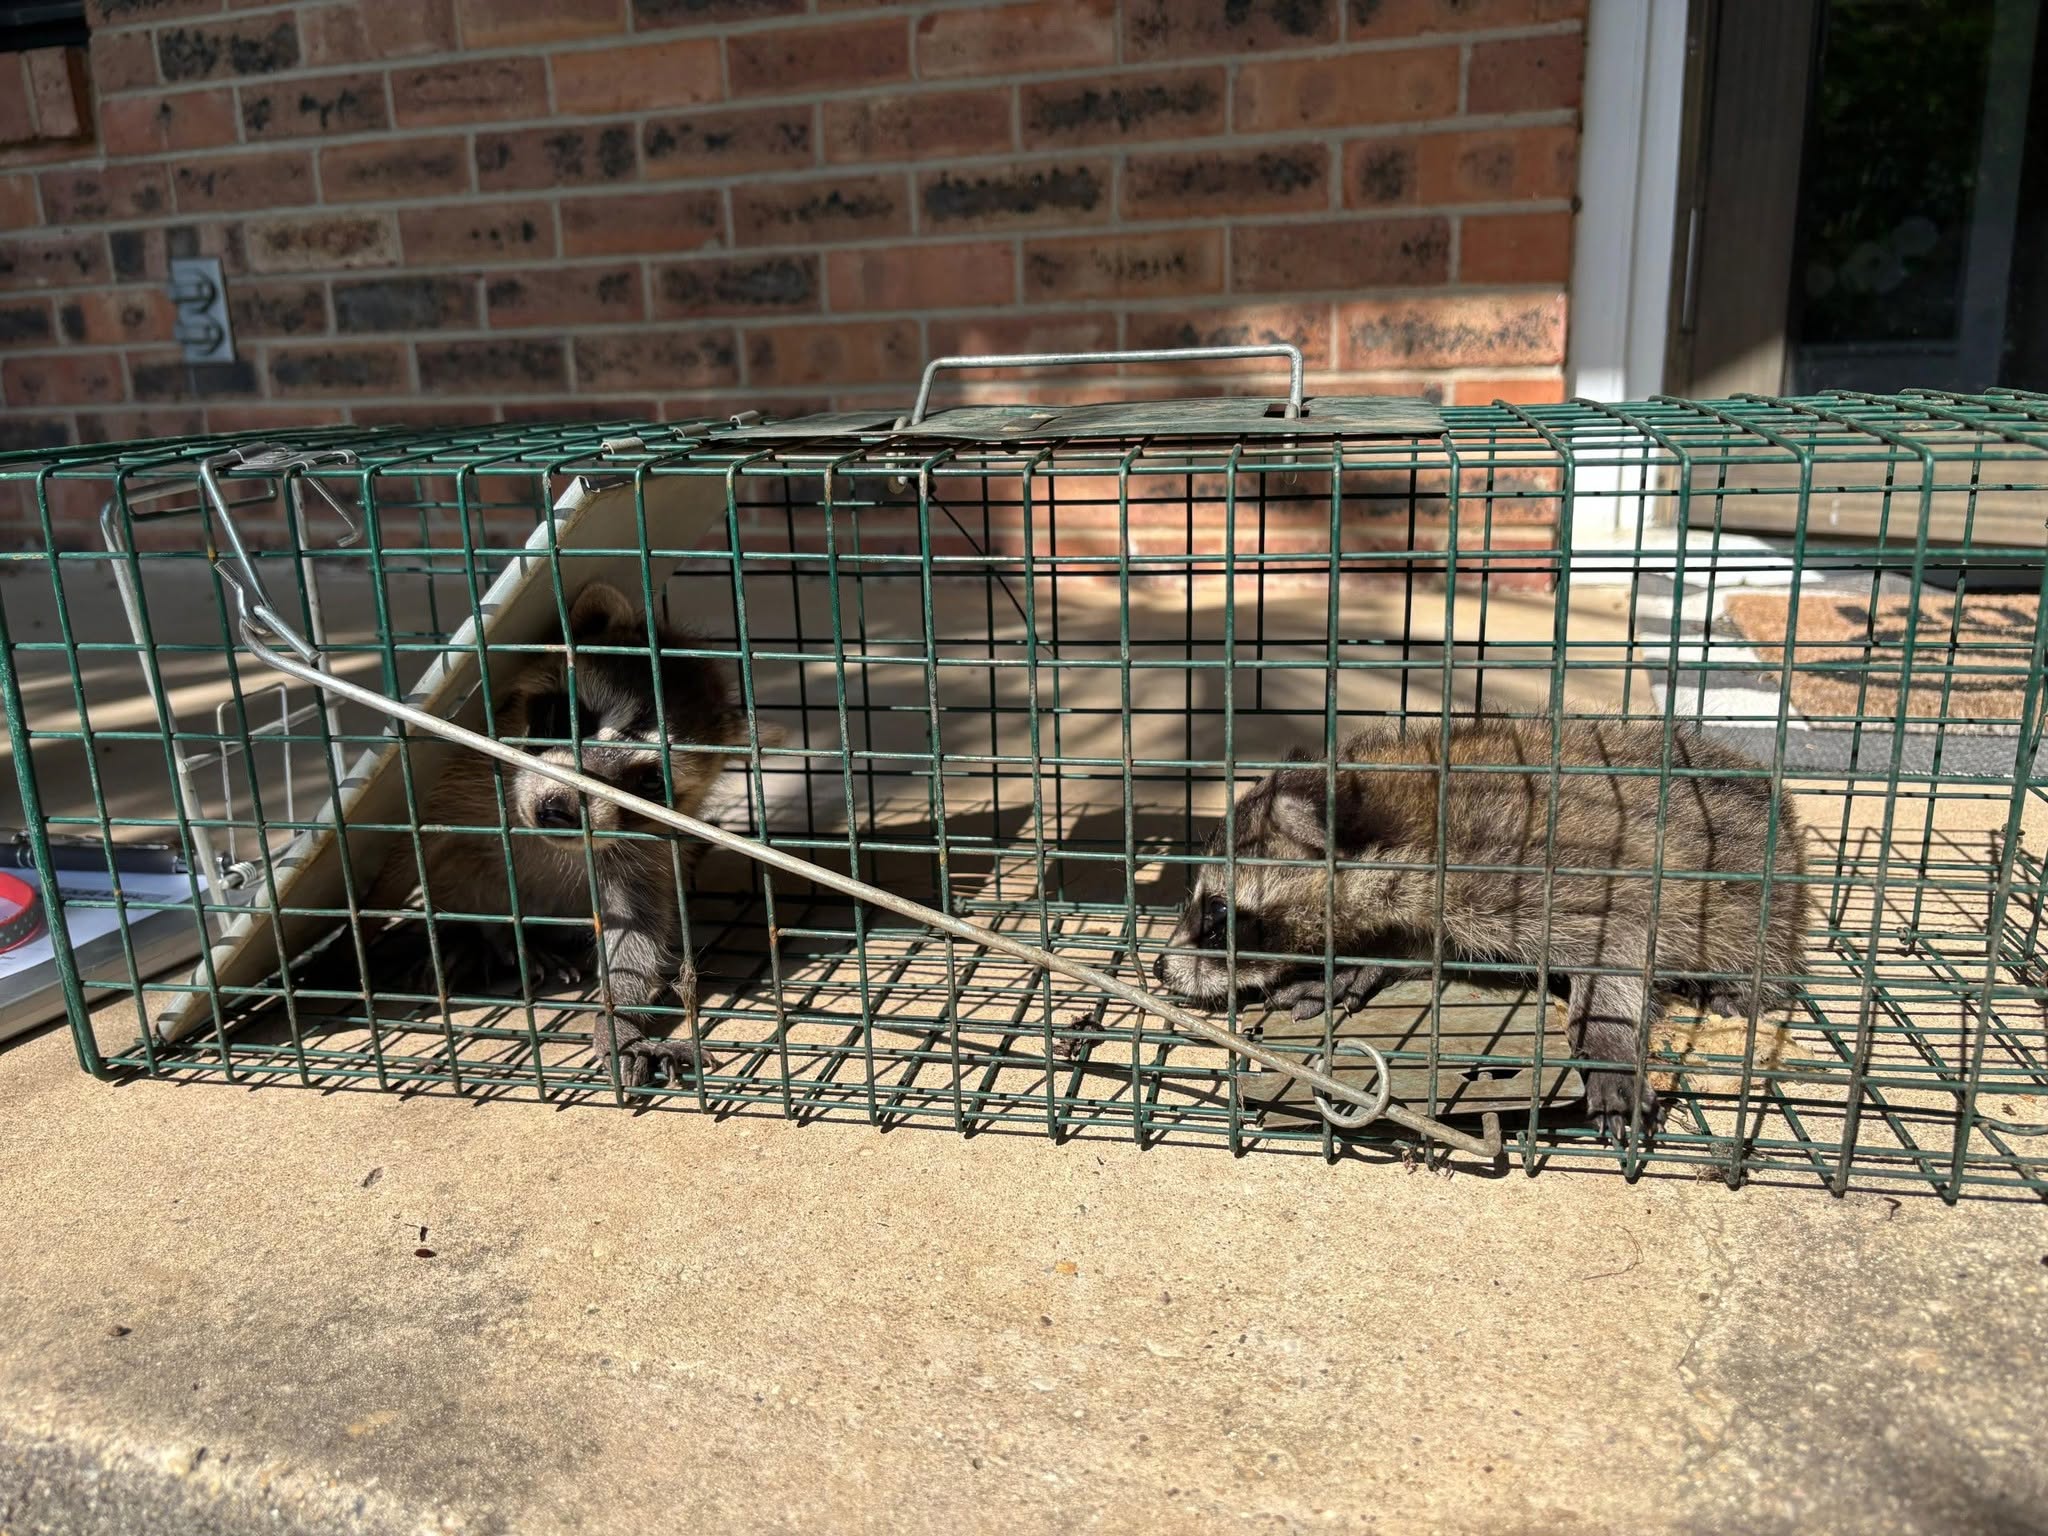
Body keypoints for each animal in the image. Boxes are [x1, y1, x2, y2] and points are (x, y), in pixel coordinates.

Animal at [357, 579, 756, 1089]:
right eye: (571, 719)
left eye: (650, 781)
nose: (560, 811)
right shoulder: (455, 776)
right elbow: (403, 855)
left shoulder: (645, 843)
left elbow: (638, 925)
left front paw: (619, 1019)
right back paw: (481, 935)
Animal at [1152, 719, 1810, 1137]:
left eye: (1217, 916)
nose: (1158, 966)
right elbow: (1425, 939)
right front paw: (1366, 959)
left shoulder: (1547, 872)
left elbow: (1622, 945)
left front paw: (1609, 1041)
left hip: (1760, 892)